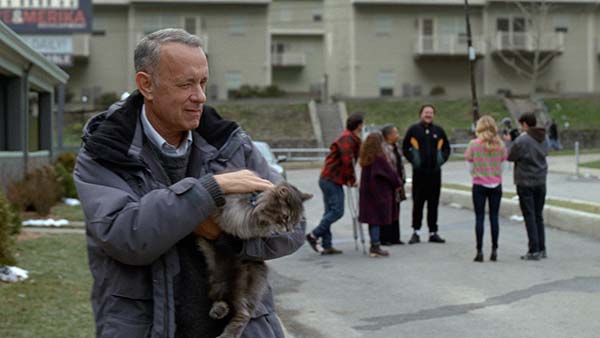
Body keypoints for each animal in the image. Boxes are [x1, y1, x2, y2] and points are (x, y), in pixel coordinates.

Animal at [198, 182, 312, 338]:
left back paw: (227, 333)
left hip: (243, 285)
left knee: (243, 314)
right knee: (221, 299)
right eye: (286, 217)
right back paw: (218, 310)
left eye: (295, 222)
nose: (289, 230)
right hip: (216, 279)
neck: (253, 205)